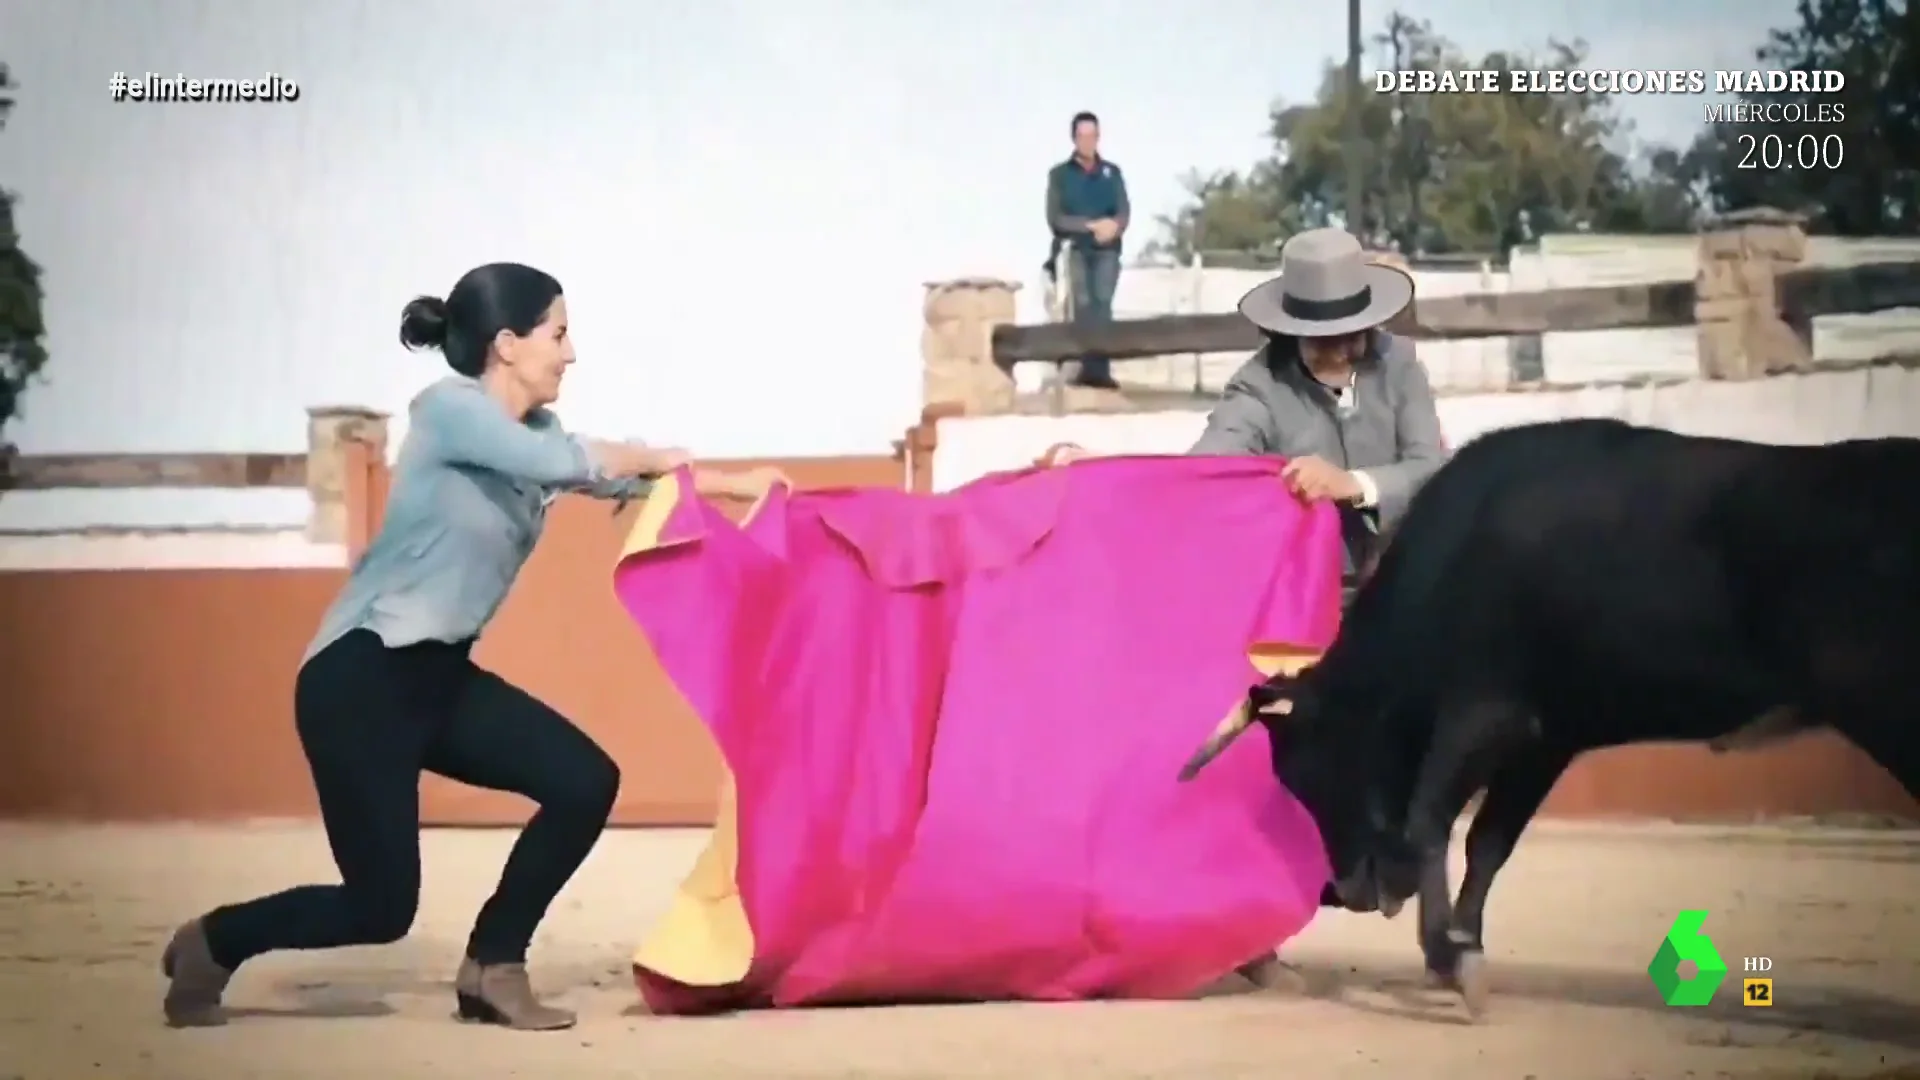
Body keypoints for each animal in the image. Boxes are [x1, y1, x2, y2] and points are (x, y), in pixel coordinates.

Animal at [1182, 417, 1920, 1014]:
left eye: (1309, 771)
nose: (1348, 890)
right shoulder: (1545, 737)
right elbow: (1488, 842)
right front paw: (1463, 951)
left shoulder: (1484, 714)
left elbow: (1431, 822)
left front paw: (1450, 957)